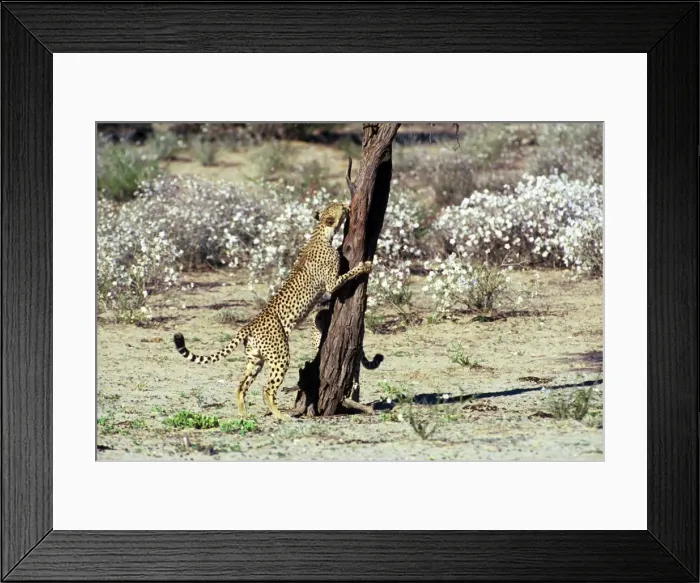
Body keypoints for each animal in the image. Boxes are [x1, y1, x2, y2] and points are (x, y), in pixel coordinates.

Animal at [173, 201, 373, 421]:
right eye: (339, 207)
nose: (346, 205)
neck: (319, 232)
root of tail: (249, 324)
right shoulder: (331, 283)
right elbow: (348, 275)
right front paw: (365, 266)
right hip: (280, 355)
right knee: (267, 389)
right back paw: (280, 415)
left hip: (255, 359)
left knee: (241, 386)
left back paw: (244, 414)